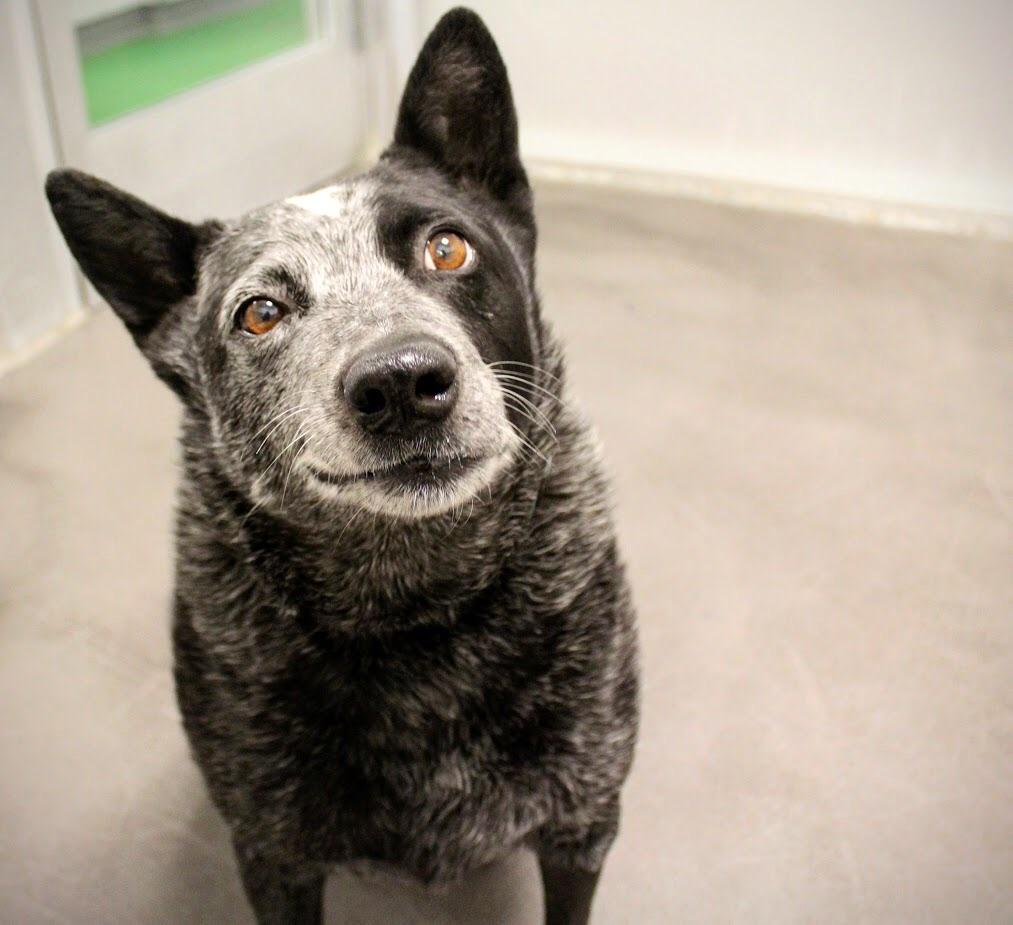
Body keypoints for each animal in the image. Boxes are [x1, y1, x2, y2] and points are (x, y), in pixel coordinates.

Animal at [47, 8, 636, 923]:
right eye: (260, 312)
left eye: (446, 249)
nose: (400, 381)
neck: (415, 611)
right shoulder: (274, 856)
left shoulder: (583, 821)